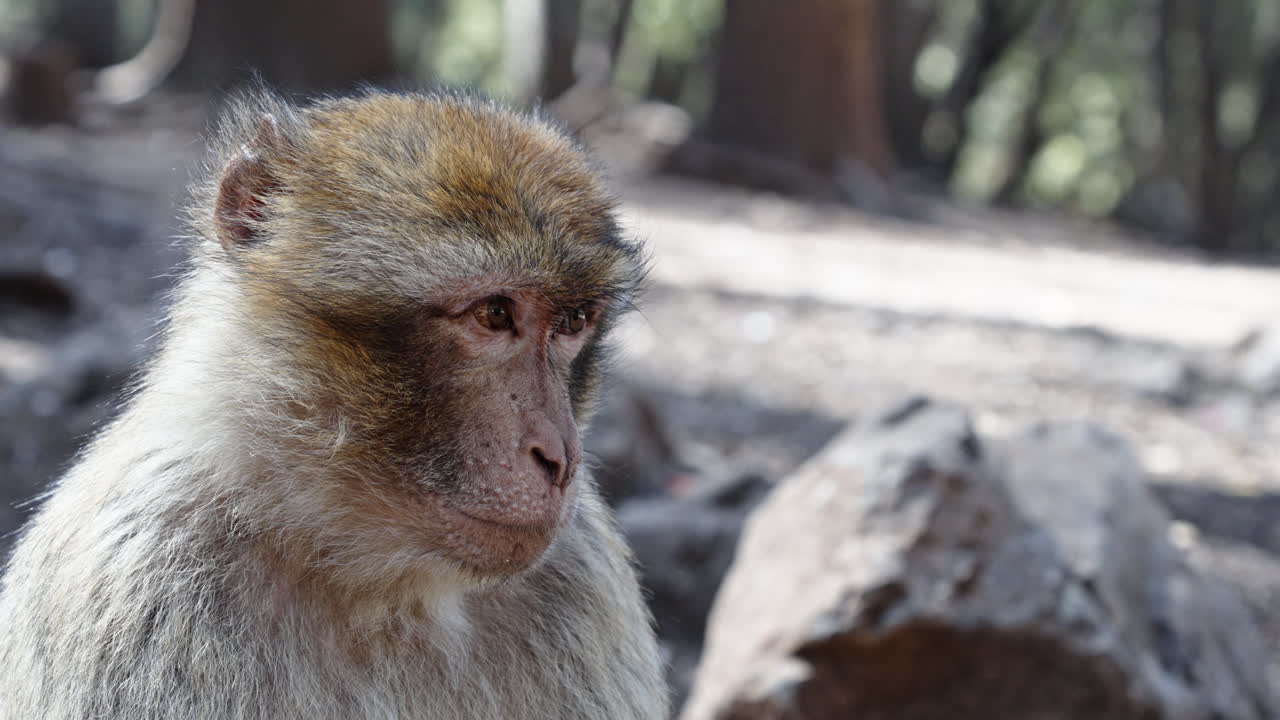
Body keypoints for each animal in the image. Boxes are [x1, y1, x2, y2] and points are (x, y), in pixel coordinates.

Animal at [0, 90, 669, 720]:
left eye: (573, 322)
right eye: (494, 314)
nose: (559, 456)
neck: (381, 585)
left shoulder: (580, 572)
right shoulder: (142, 583)